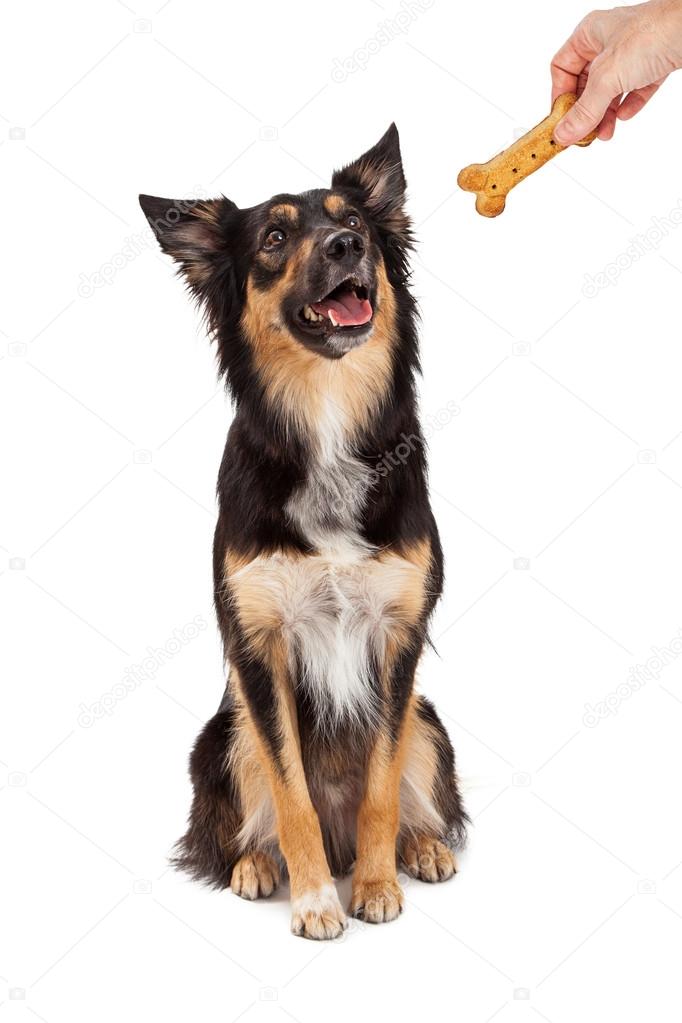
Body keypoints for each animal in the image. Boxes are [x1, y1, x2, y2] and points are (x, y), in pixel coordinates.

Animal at [141, 123, 466, 937]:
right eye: (276, 236)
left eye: (354, 223)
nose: (346, 246)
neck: (326, 413)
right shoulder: (260, 646)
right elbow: (290, 795)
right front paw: (317, 899)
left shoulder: (397, 637)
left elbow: (381, 782)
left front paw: (376, 886)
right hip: (224, 735)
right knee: (250, 815)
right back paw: (257, 866)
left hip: (430, 719)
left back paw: (421, 848)